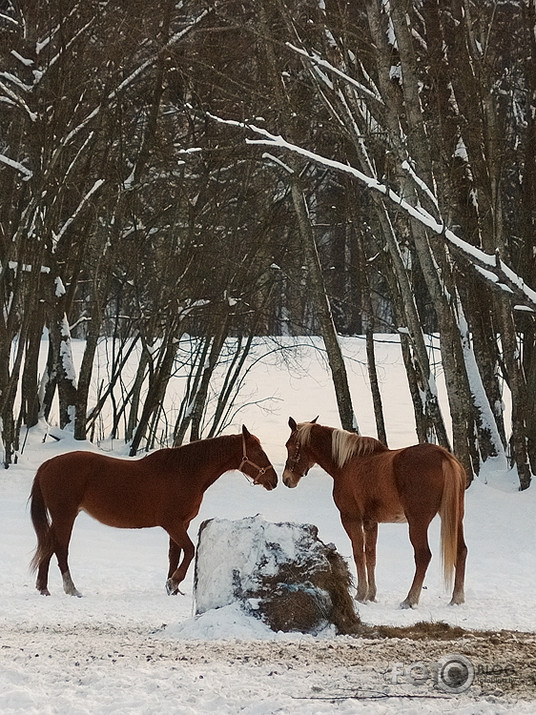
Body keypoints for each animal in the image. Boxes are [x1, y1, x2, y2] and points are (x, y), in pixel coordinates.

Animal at [29, 426, 276, 600]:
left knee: (49, 545)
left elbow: (175, 554)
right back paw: (71, 589)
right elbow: (189, 550)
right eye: (258, 451)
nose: (273, 480)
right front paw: (173, 582)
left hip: (61, 517)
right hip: (65, 515)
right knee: (60, 548)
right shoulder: (172, 523)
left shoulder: (182, 524)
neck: (185, 472)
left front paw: (173, 588)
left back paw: (43, 588)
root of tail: (48, 464)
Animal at [282, 420, 466, 608]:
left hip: (418, 522)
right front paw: (371, 595)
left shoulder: (351, 519)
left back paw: (410, 599)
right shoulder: (371, 522)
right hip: (456, 518)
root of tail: (443, 456)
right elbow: (371, 556)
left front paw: (361, 593)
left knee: (423, 556)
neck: (346, 464)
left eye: (290, 445)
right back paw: (457, 598)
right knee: (461, 551)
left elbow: (359, 555)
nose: (286, 479)